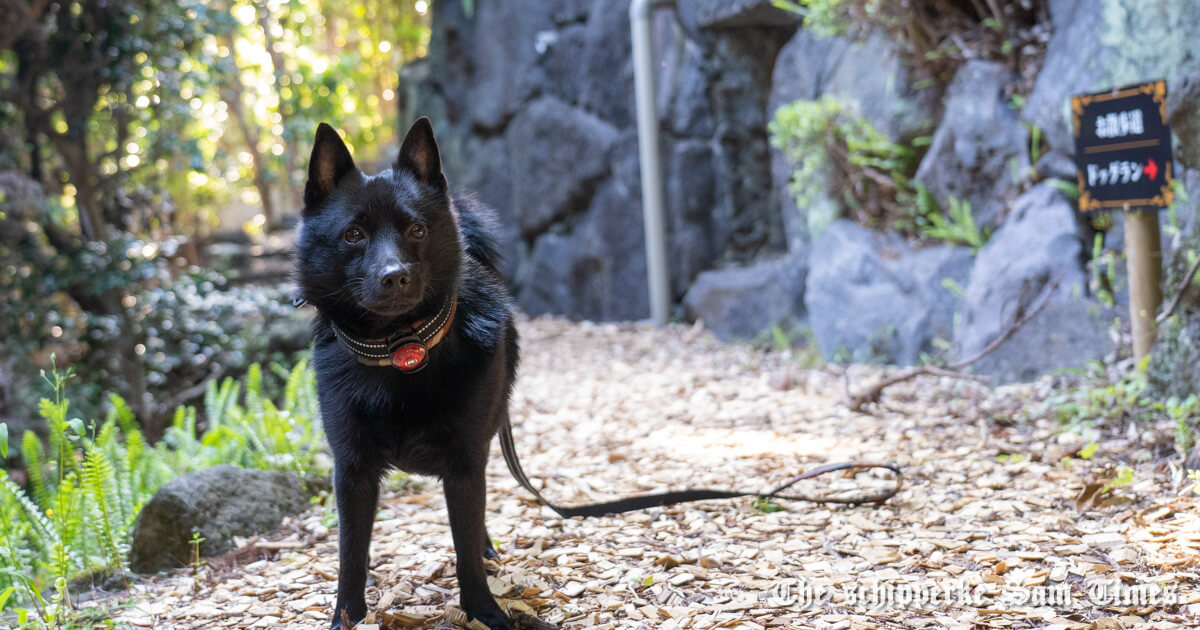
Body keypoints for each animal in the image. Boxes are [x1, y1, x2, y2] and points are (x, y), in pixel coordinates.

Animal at [295, 117, 520, 628]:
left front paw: (484, 611)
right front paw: (346, 617)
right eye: (353, 235)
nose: (395, 276)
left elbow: (465, 549)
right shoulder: (351, 471)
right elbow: (350, 552)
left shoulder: (466, 465)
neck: (400, 352)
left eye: (416, 229)